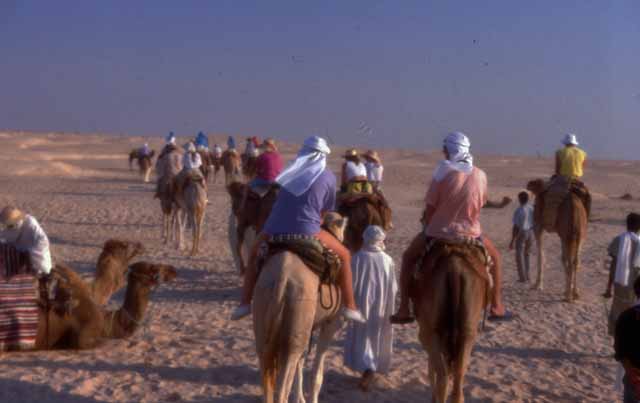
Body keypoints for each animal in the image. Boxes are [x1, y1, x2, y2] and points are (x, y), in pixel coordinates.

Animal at [252, 213, 348, 403]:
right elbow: (317, 375)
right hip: (296, 329)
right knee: (283, 385)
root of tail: (282, 277)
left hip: (267, 324)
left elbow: (302, 363)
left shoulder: (307, 326)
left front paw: (300, 398)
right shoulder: (330, 323)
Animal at [410, 241, 490, 402]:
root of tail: (455, 268)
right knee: (458, 374)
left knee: (442, 375)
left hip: (431, 332)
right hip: (468, 330)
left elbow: (431, 368)